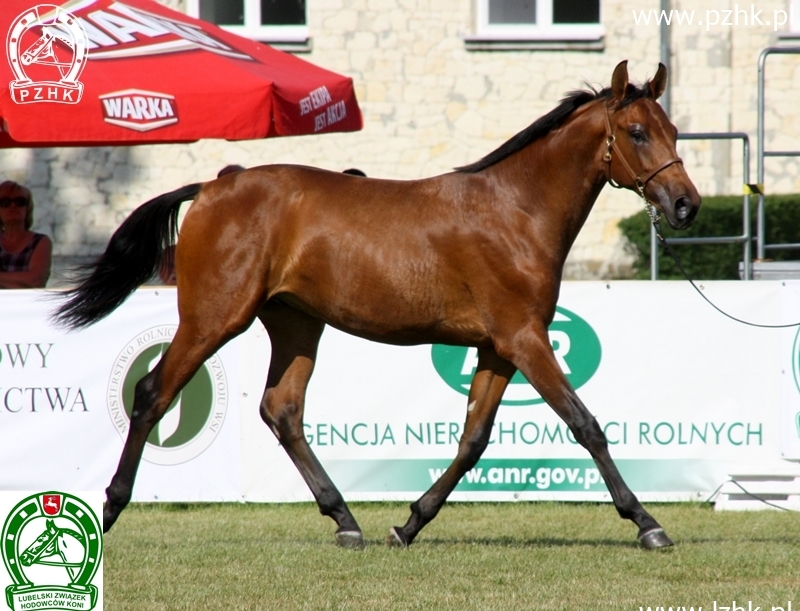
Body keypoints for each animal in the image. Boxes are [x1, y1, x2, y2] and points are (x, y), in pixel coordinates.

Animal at [53, 61, 700, 548]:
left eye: (672, 129)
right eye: (637, 132)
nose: (686, 205)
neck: (515, 210)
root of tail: (213, 185)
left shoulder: (499, 347)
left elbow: (473, 440)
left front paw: (408, 524)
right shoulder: (524, 338)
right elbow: (585, 424)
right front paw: (647, 524)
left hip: (296, 325)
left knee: (282, 410)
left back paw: (346, 521)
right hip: (213, 319)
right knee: (152, 394)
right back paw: (109, 509)